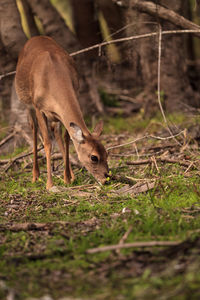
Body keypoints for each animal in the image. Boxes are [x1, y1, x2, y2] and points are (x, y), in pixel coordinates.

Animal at [14, 35, 108, 190]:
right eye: (94, 157)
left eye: (106, 153)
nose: (106, 179)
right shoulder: (39, 107)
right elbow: (47, 142)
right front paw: (49, 184)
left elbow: (66, 138)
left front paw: (67, 178)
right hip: (27, 102)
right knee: (34, 129)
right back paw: (35, 176)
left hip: (55, 116)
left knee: (56, 131)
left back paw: (69, 175)